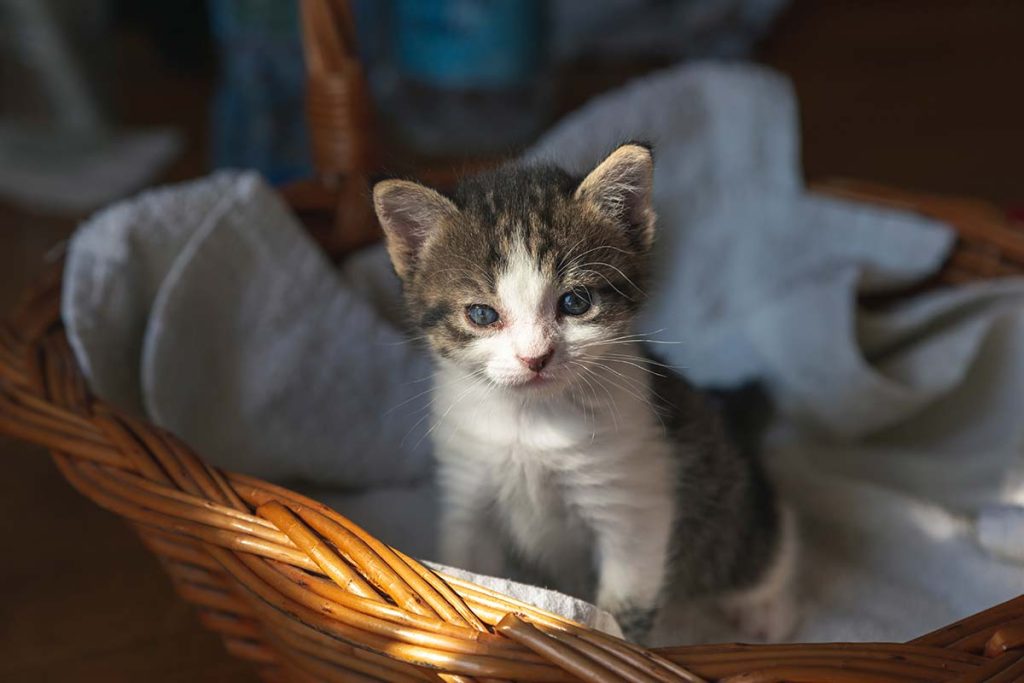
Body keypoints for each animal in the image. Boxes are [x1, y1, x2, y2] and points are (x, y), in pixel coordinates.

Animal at [372, 143, 794, 643]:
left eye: (575, 302)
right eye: (481, 314)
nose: (535, 357)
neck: (529, 421)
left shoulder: (634, 501)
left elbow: (624, 606)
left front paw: (618, 646)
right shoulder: (469, 488)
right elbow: (466, 575)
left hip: (725, 498)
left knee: (764, 533)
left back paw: (766, 607)